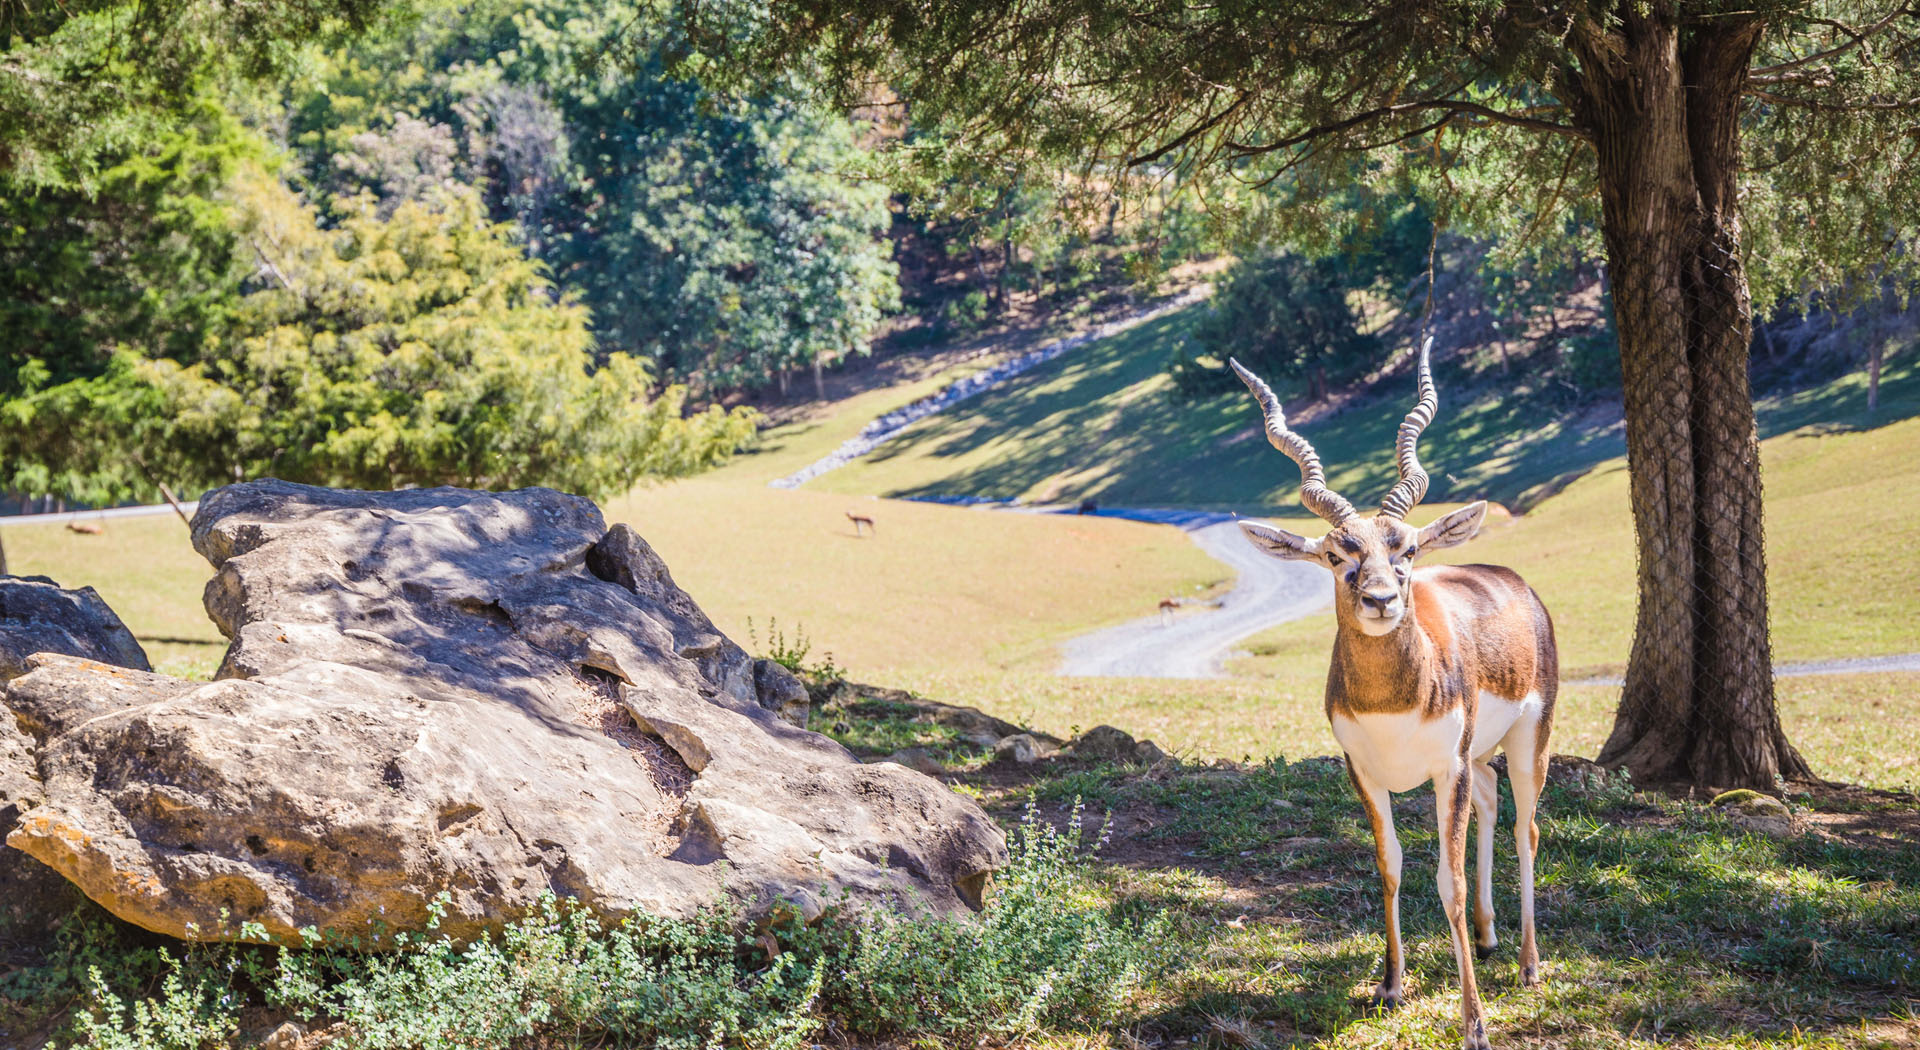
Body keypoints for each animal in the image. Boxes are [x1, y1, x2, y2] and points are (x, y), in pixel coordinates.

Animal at [1228, 341, 1559, 1044]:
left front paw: (1474, 1023)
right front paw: (1390, 984)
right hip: (1477, 755)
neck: (1393, 704)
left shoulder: (1444, 769)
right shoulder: (1365, 770)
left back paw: (1528, 965)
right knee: (1492, 800)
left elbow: (1448, 881)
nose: (1381, 598)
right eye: (1336, 554)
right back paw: (1487, 938)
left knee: (1527, 828)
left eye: (1405, 548)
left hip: (1529, 740)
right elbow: (1390, 866)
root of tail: (1511, 580)